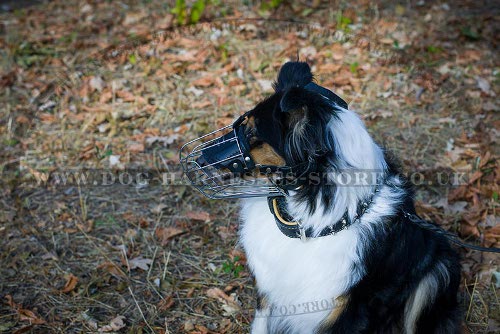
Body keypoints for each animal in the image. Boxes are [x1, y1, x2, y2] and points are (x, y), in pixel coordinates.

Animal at [184, 61, 460, 332]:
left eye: (252, 134)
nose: (198, 160)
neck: (309, 223)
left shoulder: (344, 312)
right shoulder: (268, 292)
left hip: (439, 270)